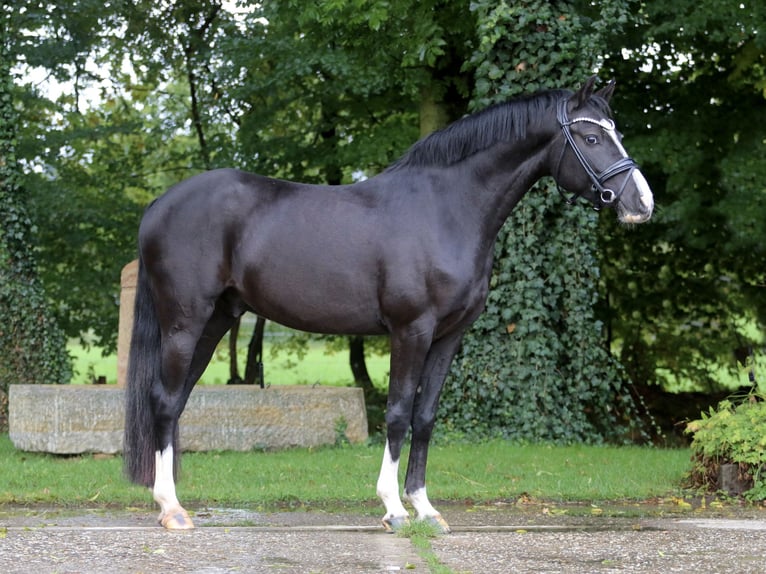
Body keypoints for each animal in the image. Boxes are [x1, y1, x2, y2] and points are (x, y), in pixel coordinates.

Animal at [124, 76, 654, 533]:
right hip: (184, 322)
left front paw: (426, 509)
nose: (642, 204)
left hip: (216, 320)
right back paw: (171, 509)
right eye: (590, 137)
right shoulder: (411, 330)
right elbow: (398, 412)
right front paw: (394, 509)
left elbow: (425, 416)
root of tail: (159, 204)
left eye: (617, 133)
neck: (446, 210)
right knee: (164, 401)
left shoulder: (449, 336)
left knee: (177, 401)